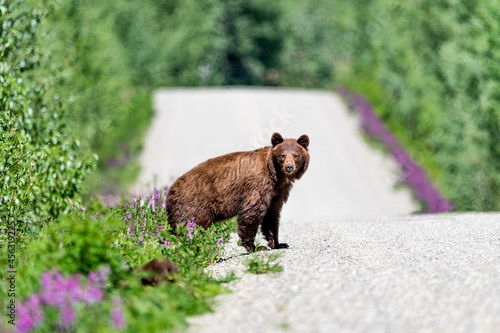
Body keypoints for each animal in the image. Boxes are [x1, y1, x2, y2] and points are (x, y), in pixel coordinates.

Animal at [167, 131, 308, 250]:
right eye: (282, 155)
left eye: (295, 155)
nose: (289, 167)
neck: (276, 175)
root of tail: (170, 193)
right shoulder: (258, 184)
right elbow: (252, 210)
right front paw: (254, 247)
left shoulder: (277, 192)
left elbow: (272, 215)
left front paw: (278, 243)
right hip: (194, 206)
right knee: (191, 228)